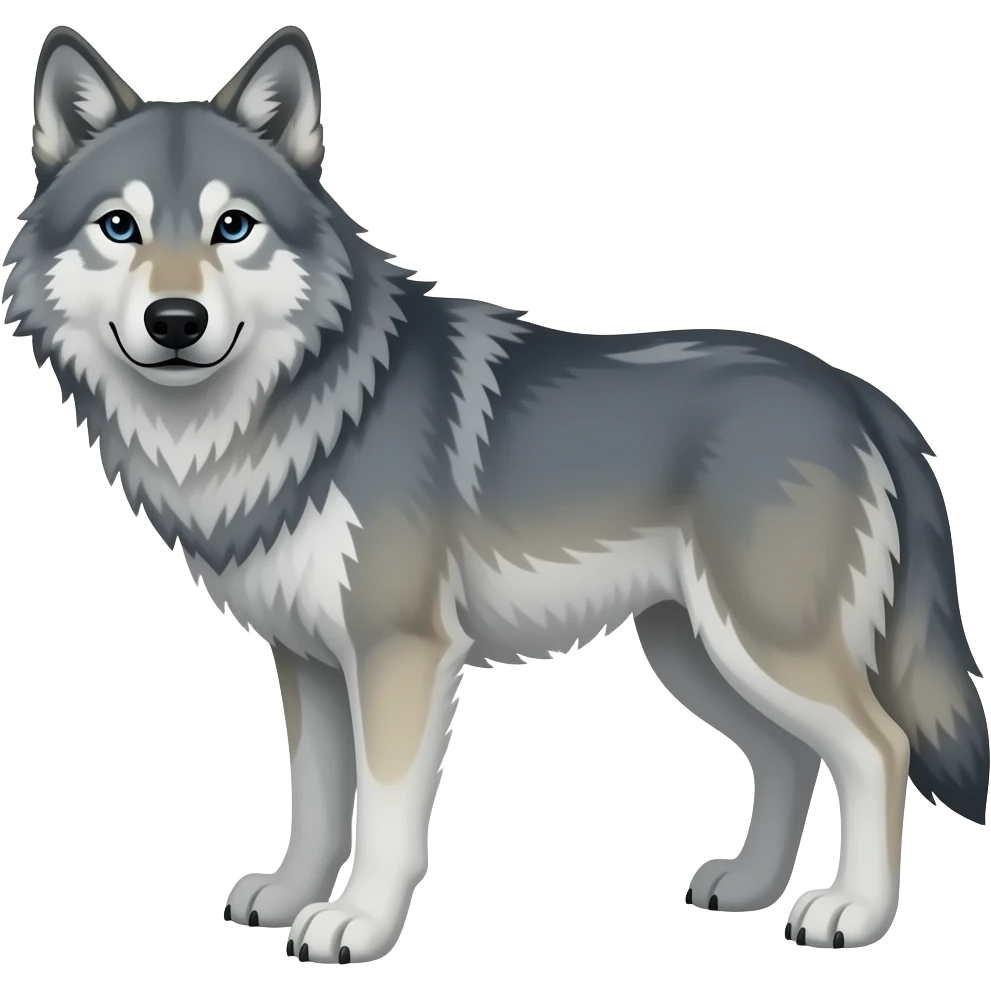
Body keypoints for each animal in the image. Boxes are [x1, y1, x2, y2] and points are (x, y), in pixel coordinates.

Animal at [4, 23, 988, 964]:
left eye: (233, 226)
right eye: (120, 226)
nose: (176, 321)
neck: (294, 413)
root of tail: (851, 388)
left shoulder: (400, 652)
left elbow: (384, 813)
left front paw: (355, 924)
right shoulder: (307, 658)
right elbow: (316, 802)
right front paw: (287, 896)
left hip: (761, 644)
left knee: (878, 747)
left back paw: (852, 912)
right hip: (696, 652)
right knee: (789, 756)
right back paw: (749, 886)